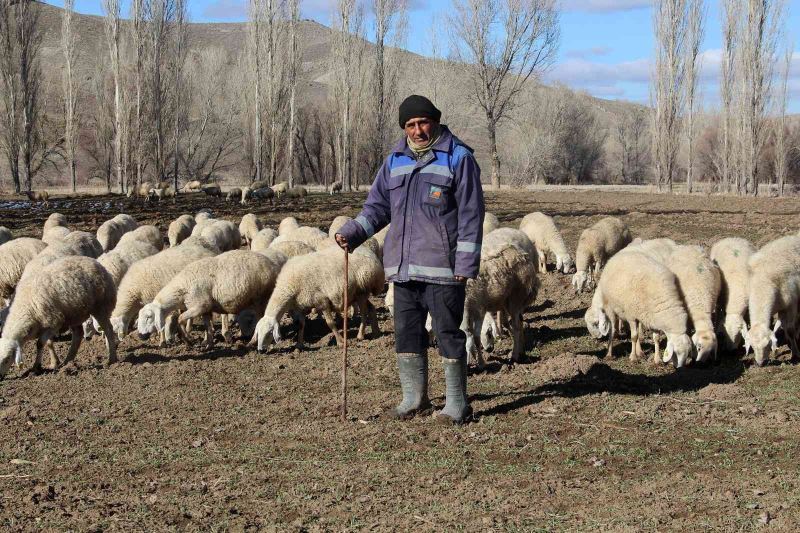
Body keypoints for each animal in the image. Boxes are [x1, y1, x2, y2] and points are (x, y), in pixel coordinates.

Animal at [138, 248, 288, 348]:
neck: (182, 287)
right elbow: (207, 327)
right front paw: (208, 344)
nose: (140, 335)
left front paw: (188, 340)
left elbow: (180, 319)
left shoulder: (198, 306)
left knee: (261, 318)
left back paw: (253, 341)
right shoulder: (205, 309)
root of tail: (273, 266)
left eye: (149, 317)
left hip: (260, 298)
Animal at [252, 244, 386, 352]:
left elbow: (330, 323)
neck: (289, 286)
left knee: (364, 313)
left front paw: (341, 342)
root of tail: (371, 255)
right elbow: (300, 325)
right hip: (358, 293)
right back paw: (376, 333)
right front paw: (299, 345)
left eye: (269, 333)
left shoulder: (322, 301)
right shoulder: (301, 306)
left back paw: (360, 335)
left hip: (362, 290)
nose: (260, 350)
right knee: (371, 308)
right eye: (258, 333)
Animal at [740, 236, 800, 366]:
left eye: (767, 345)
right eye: (752, 347)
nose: (760, 363)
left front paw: (795, 355)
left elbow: (790, 329)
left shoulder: (791, 305)